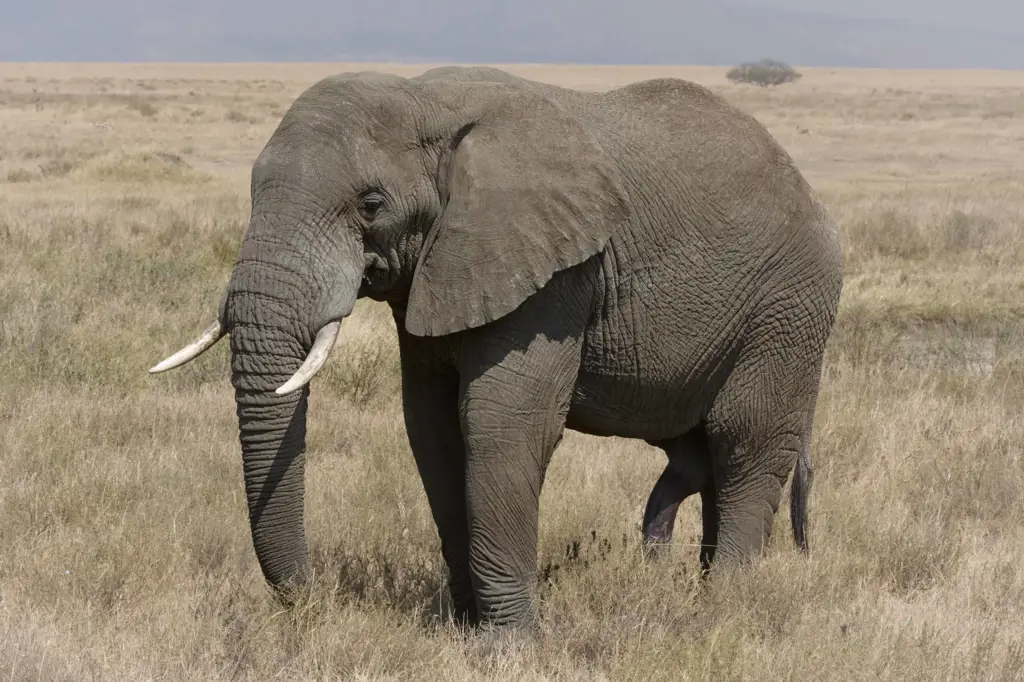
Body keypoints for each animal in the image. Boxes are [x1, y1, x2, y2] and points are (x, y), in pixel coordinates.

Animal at [149, 66, 839, 630]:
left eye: (371, 205)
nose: (311, 604)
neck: (427, 100)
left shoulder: (554, 275)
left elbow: (500, 424)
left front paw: (507, 644)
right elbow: (431, 428)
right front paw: (458, 627)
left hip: (788, 309)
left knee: (743, 443)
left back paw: (722, 609)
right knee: (702, 456)